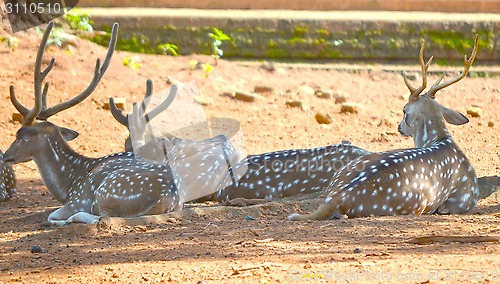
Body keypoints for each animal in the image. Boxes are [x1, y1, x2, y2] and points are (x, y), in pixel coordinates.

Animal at [2, 21, 183, 224]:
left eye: (19, 137)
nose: (5, 155)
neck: (68, 185)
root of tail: (168, 197)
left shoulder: (78, 199)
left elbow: (52, 214)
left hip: (109, 191)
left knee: (103, 218)